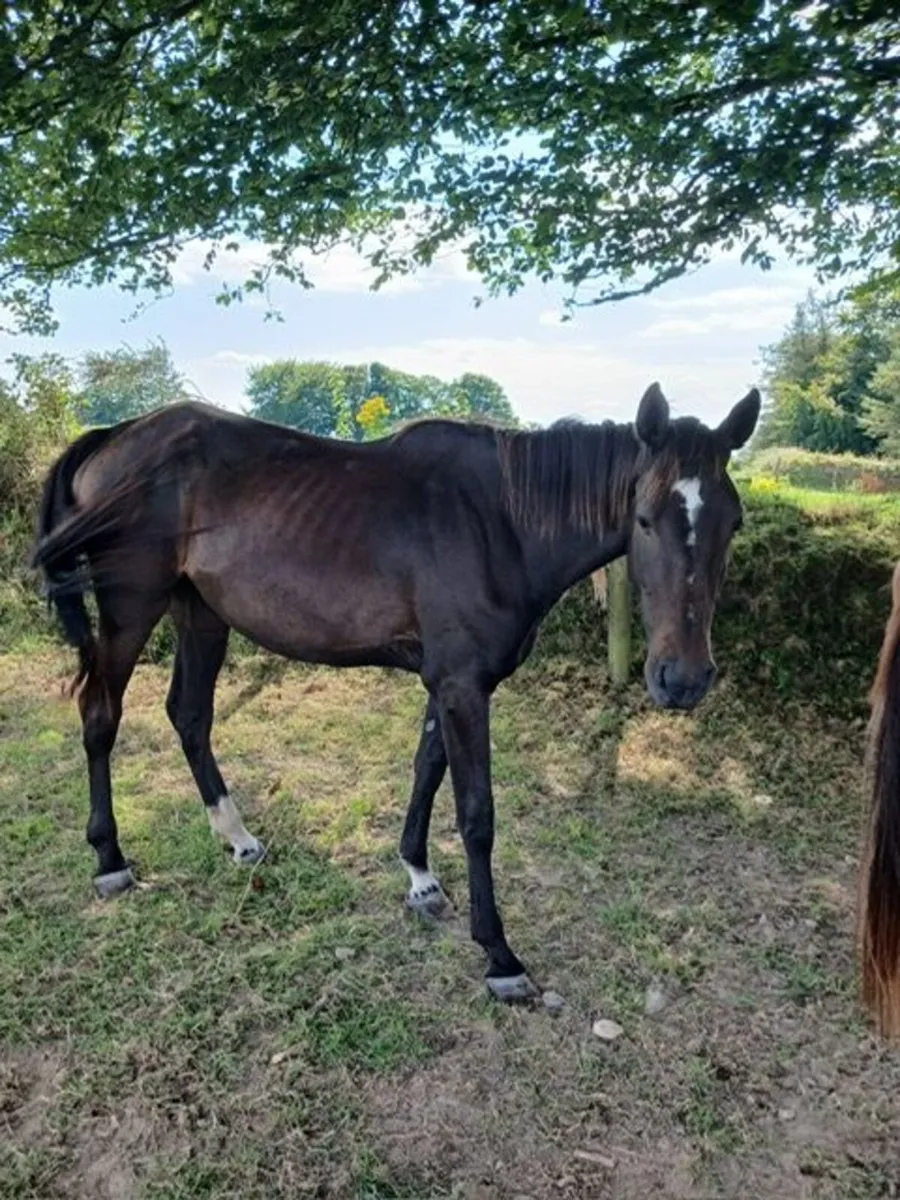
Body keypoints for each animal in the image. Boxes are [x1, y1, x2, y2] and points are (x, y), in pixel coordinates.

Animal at [32, 381, 760, 1001]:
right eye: (644, 519)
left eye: (734, 522)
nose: (683, 678)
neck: (501, 520)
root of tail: (116, 435)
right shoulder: (463, 685)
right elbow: (476, 813)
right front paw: (499, 956)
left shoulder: (449, 679)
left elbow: (426, 768)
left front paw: (420, 877)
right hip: (131, 607)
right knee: (101, 713)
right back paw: (109, 859)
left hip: (200, 613)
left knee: (189, 714)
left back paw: (238, 838)